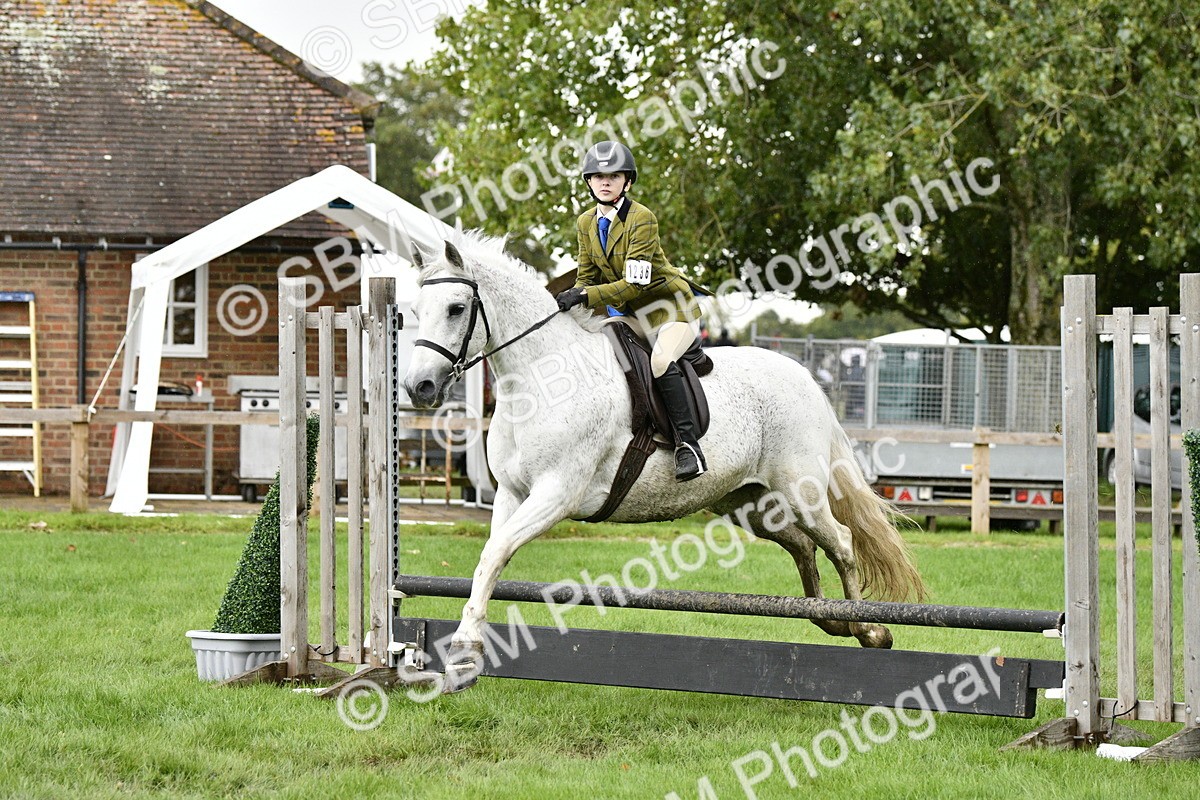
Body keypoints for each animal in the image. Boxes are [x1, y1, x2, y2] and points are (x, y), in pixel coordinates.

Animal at [403, 234, 925, 688]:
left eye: (456, 308)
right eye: (414, 311)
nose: (418, 388)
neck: (540, 379)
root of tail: (805, 377)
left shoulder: (556, 493)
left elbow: (494, 553)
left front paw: (465, 649)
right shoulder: (512, 494)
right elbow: (490, 559)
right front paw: (467, 645)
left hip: (802, 491)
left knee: (840, 542)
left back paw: (867, 630)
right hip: (748, 504)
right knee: (802, 546)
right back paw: (830, 621)